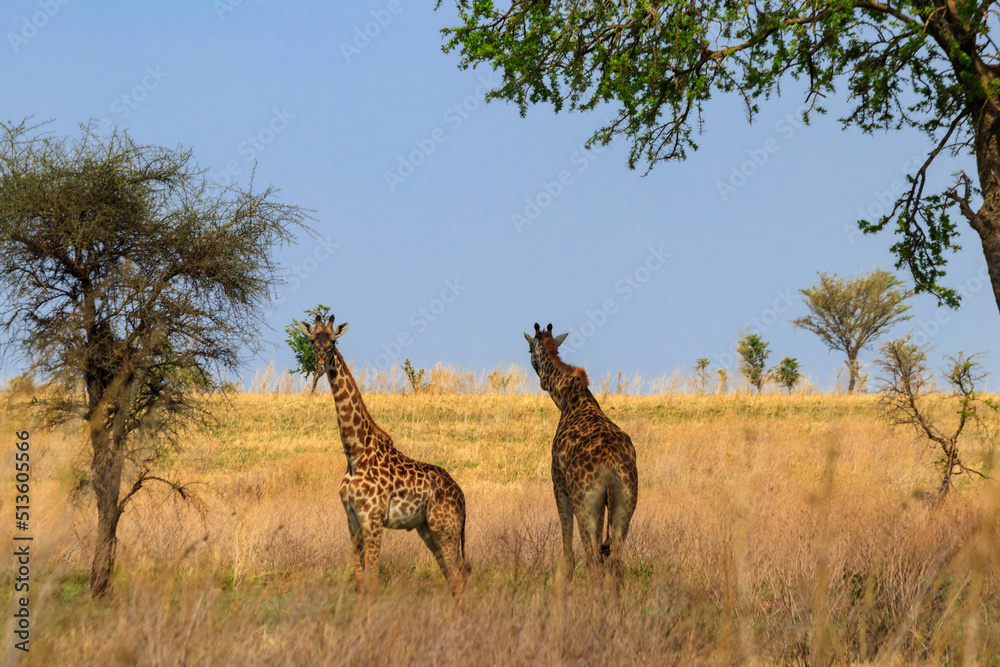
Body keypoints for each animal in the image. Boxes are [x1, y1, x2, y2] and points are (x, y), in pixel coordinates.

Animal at [300, 314, 470, 599]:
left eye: (333, 342)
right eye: (313, 341)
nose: (321, 363)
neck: (355, 453)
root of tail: (462, 497)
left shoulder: (373, 517)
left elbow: (372, 581)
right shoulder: (352, 518)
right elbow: (359, 581)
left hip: (446, 527)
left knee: (458, 575)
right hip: (428, 529)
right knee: (452, 575)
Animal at [524, 322, 638, 582]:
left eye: (529, 350)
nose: (541, 381)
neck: (567, 398)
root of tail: (612, 465)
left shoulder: (558, 484)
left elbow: (566, 539)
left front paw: (563, 578)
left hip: (586, 504)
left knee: (594, 559)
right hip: (625, 504)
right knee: (614, 561)